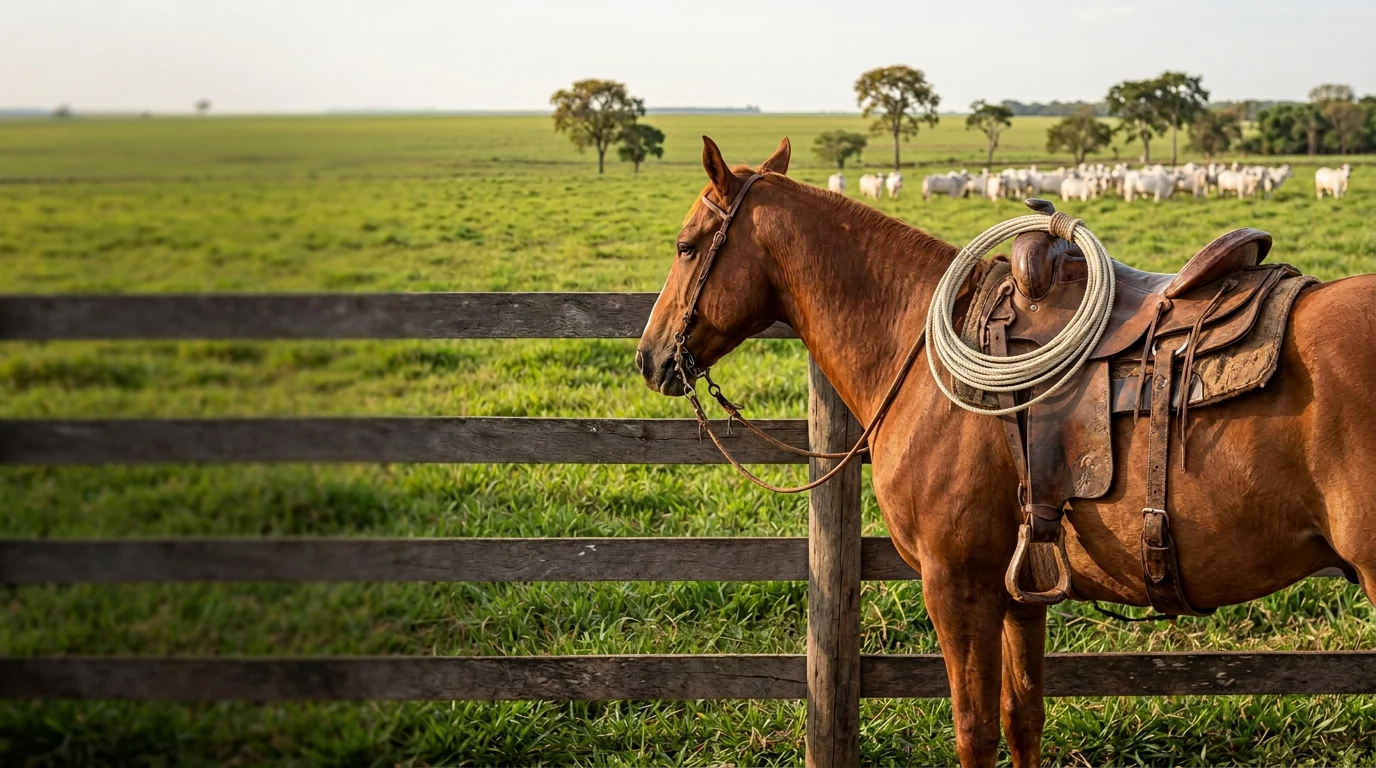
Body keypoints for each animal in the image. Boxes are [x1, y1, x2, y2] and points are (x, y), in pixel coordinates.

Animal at [635, 135, 1376, 766]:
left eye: (685, 246)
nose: (649, 357)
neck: (920, 350)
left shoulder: (955, 582)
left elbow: (975, 731)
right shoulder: (1021, 588)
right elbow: (1023, 720)